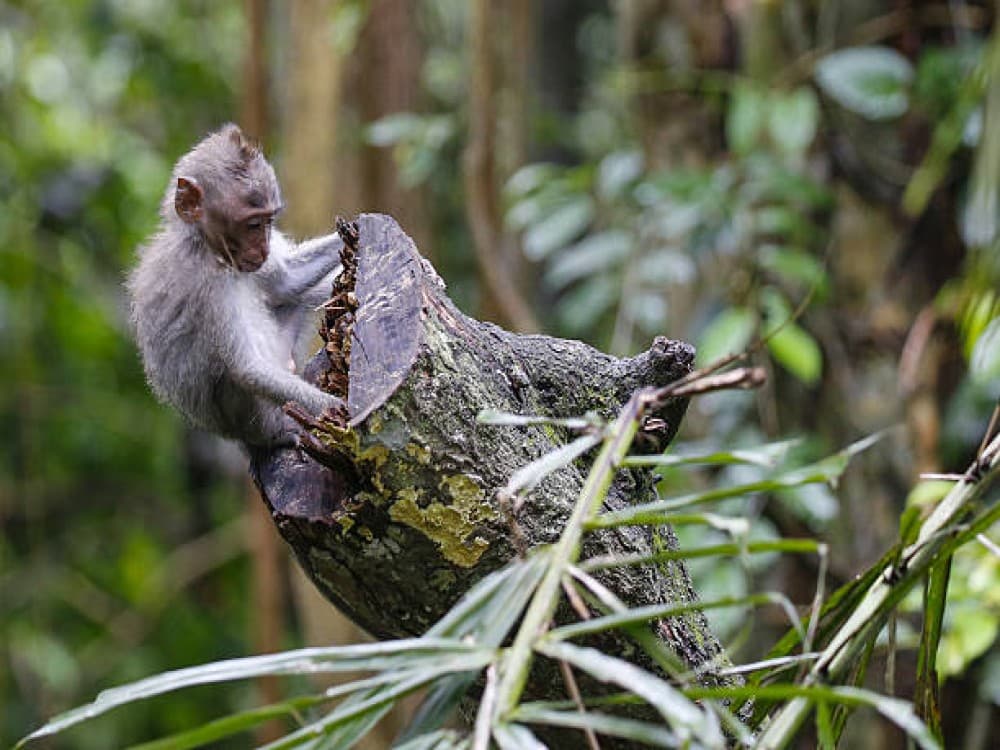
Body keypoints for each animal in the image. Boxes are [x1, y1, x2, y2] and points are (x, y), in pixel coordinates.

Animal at [127, 124, 346, 449]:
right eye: (253, 225)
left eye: (269, 221)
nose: (264, 248)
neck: (205, 247)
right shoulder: (207, 286)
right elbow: (247, 370)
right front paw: (341, 411)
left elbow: (286, 282)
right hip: (255, 420)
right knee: (230, 378)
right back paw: (278, 435)